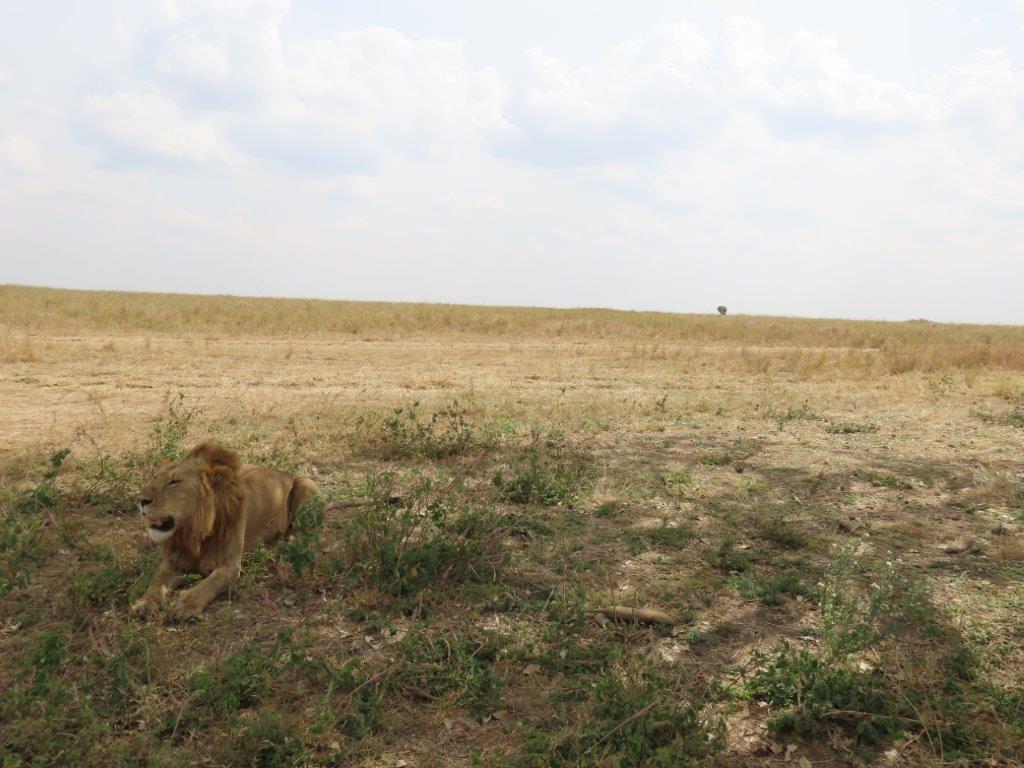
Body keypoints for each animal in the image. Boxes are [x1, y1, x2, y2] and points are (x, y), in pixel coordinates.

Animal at [131, 442, 319, 620]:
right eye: (155, 478)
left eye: (174, 482)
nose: (140, 500)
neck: (194, 532)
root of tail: (286, 473)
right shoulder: (173, 561)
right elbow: (157, 582)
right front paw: (143, 603)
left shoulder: (231, 565)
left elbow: (210, 583)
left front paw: (187, 604)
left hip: (305, 485)